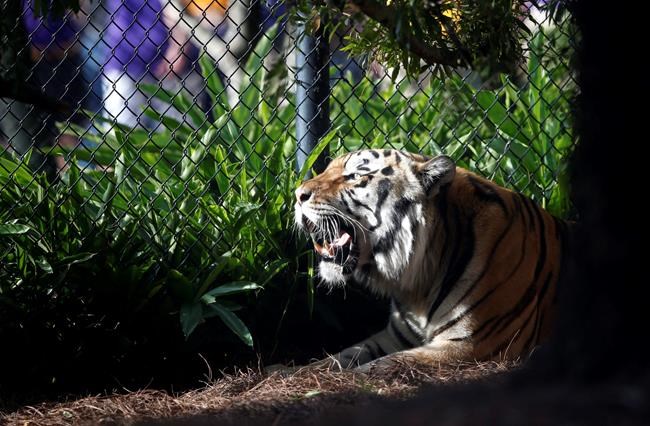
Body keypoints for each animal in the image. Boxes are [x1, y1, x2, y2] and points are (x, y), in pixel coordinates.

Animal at [294, 149, 571, 372]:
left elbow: (382, 364)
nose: (297, 195)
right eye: (327, 169)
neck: (417, 285)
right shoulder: (392, 337)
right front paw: (293, 372)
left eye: (354, 176)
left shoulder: (471, 345)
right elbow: (340, 356)